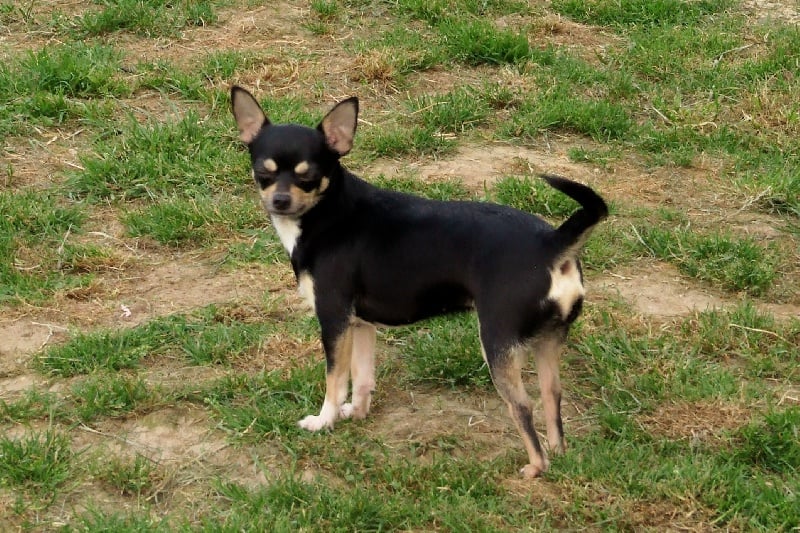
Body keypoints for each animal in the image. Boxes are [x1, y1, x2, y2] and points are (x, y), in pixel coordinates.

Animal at [231, 85, 608, 476]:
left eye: (307, 177)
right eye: (263, 172)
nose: (279, 200)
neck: (327, 213)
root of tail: (552, 243)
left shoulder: (334, 320)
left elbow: (335, 381)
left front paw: (324, 421)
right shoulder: (360, 324)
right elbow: (362, 377)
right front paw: (358, 414)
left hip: (497, 343)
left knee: (522, 405)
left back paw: (535, 468)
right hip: (548, 342)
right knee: (552, 396)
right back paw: (558, 453)